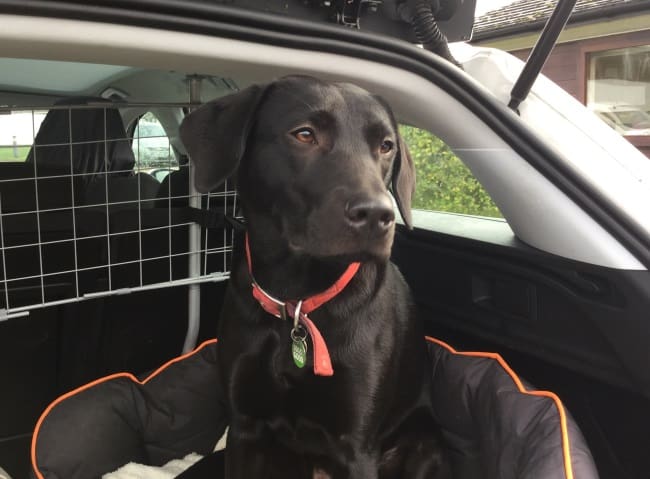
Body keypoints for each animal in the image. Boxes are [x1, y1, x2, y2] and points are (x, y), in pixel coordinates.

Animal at [180, 76, 448, 479]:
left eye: (385, 145)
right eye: (304, 134)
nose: (378, 215)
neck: (297, 298)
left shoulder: (356, 447)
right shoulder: (244, 428)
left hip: (423, 445)